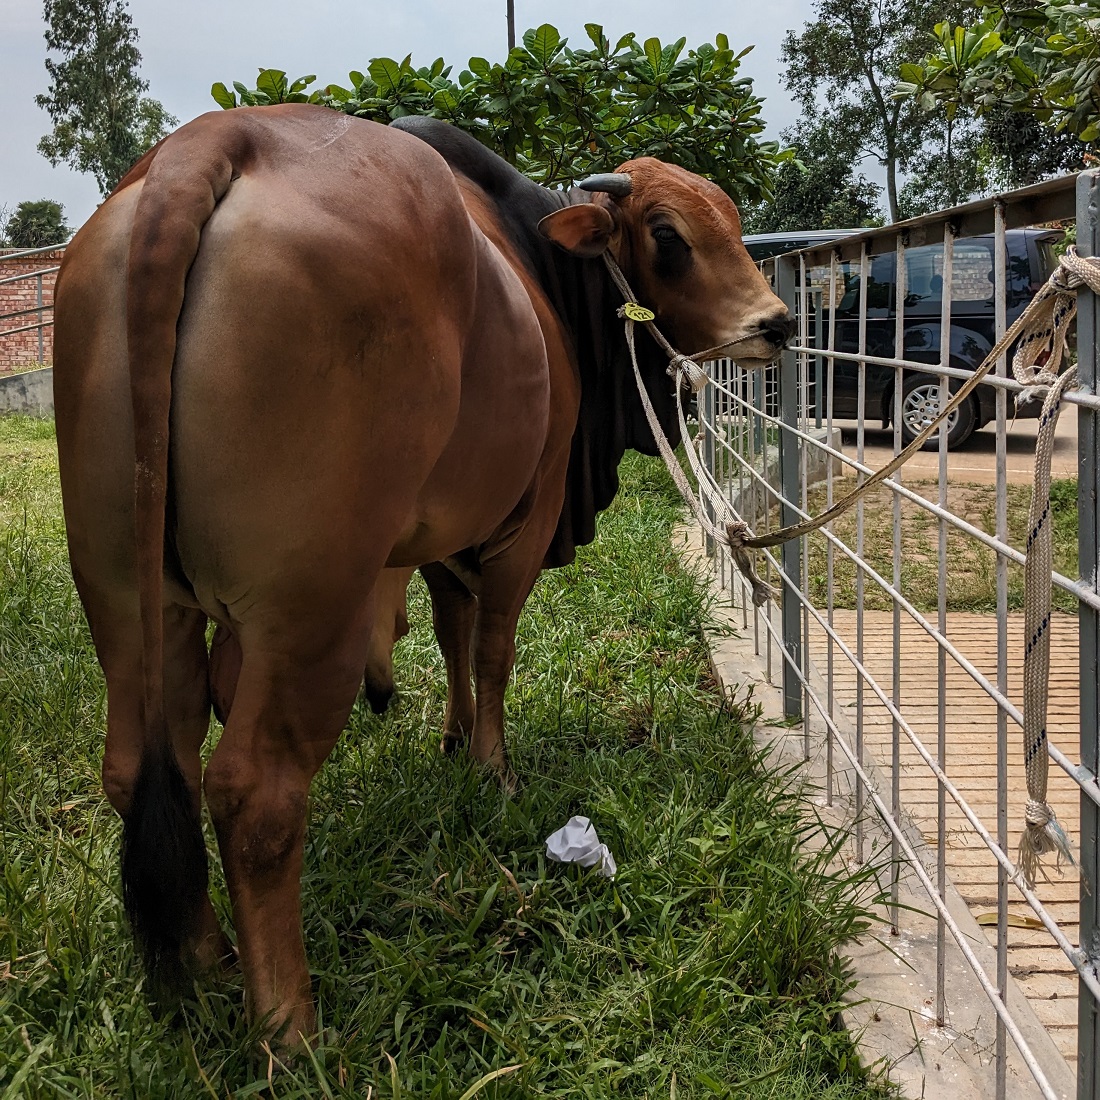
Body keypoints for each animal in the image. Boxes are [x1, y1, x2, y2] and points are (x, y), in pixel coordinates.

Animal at [51, 107, 792, 1042]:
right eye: (668, 235)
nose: (777, 323)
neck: (541, 269)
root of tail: (206, 146)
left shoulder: (443, 542)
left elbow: (450, 637)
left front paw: (452, 739)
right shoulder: (526, 523)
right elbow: (494, 650)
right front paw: (493, 768)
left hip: (123, 599)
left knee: (148, 768)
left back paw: (209, 960)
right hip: (312, 611)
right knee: (254, 795)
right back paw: (290, 1027)